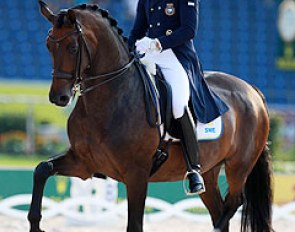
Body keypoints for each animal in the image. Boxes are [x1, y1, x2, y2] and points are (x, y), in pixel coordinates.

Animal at [28, 0, 276, 231]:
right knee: (219, 210)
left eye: (72, 47)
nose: (58, 97)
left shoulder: (136, 175)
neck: (111, 98)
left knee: (233, 203)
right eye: (48, 46)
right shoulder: (83, 163)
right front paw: (35, 223)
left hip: (239, 165)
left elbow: (135, 225)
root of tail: (252, 90)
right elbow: (42, 169)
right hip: (209, 170)